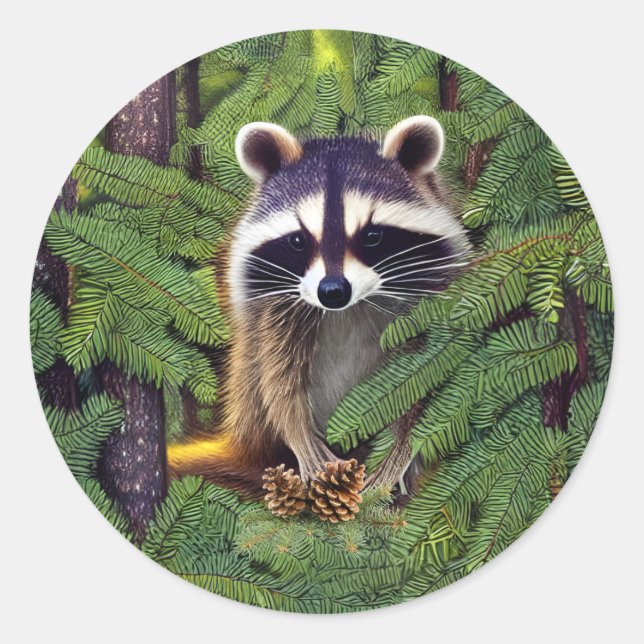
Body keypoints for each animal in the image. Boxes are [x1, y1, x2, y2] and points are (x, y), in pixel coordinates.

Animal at [167, 116, 471, 494]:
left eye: (372, 236)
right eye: (299, 240)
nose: (333, 291)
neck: (349, 308)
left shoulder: (426, 297)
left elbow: (420, 377)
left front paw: (398, 453)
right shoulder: (276, 303)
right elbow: (278, 376)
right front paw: (300, 437)